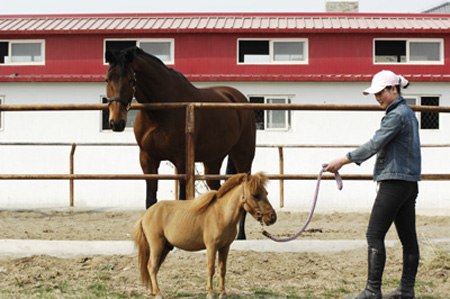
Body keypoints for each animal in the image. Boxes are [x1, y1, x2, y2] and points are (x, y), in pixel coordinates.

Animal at [103, 46, 255, 239]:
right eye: (107, 79)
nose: (116, 123)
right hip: (212, 162)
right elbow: (150, 200)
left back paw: (240, 236)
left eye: (131, 79)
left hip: (243, 157)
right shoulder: (147, 159)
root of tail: (238, 98)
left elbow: (182, 198)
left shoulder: (181, 161)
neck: (161, 111)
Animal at [132, 172, 276, 299]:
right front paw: (210, 293)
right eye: (255, 195)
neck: (221, 215)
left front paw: (223, 293)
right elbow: (211, 268)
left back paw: (153, 292)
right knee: (152, 267)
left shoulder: (225, 247)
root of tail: (146, 214)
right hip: (156, 246)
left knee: (154, 268)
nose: (272, 217)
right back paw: (158, 294)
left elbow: (222, 269)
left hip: (165, 248)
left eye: (266, 193)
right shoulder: (211, 247)